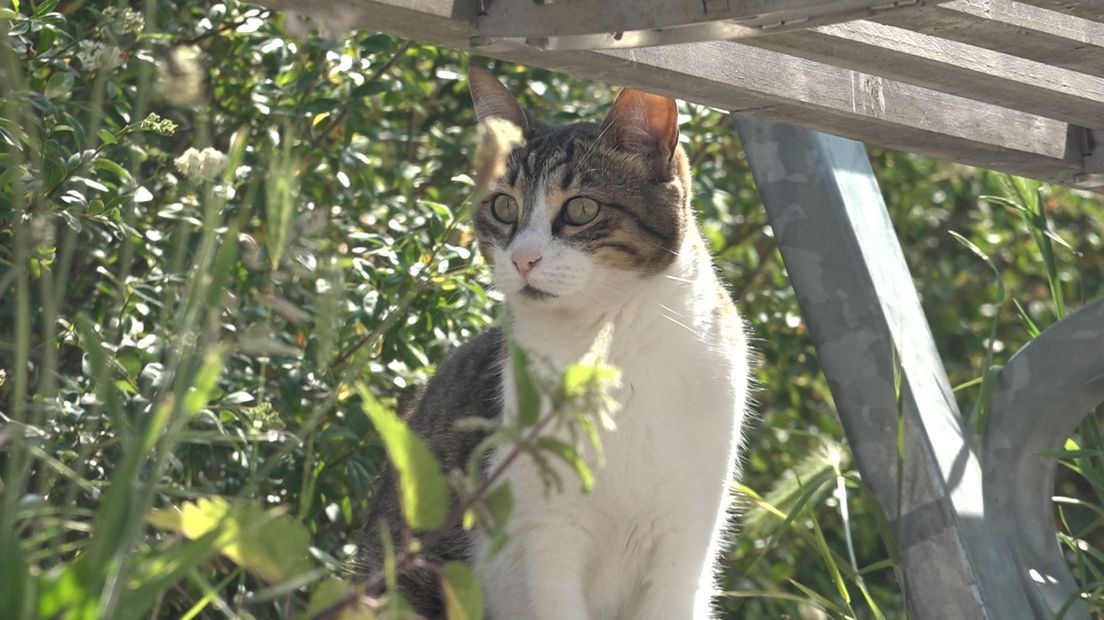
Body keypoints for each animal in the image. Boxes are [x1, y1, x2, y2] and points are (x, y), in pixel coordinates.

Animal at [359, 67, 750, 617]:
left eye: (581, 208)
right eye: (504, 206)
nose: (522, 258)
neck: (610, 350)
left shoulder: (686, 535)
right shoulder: (548, 535)